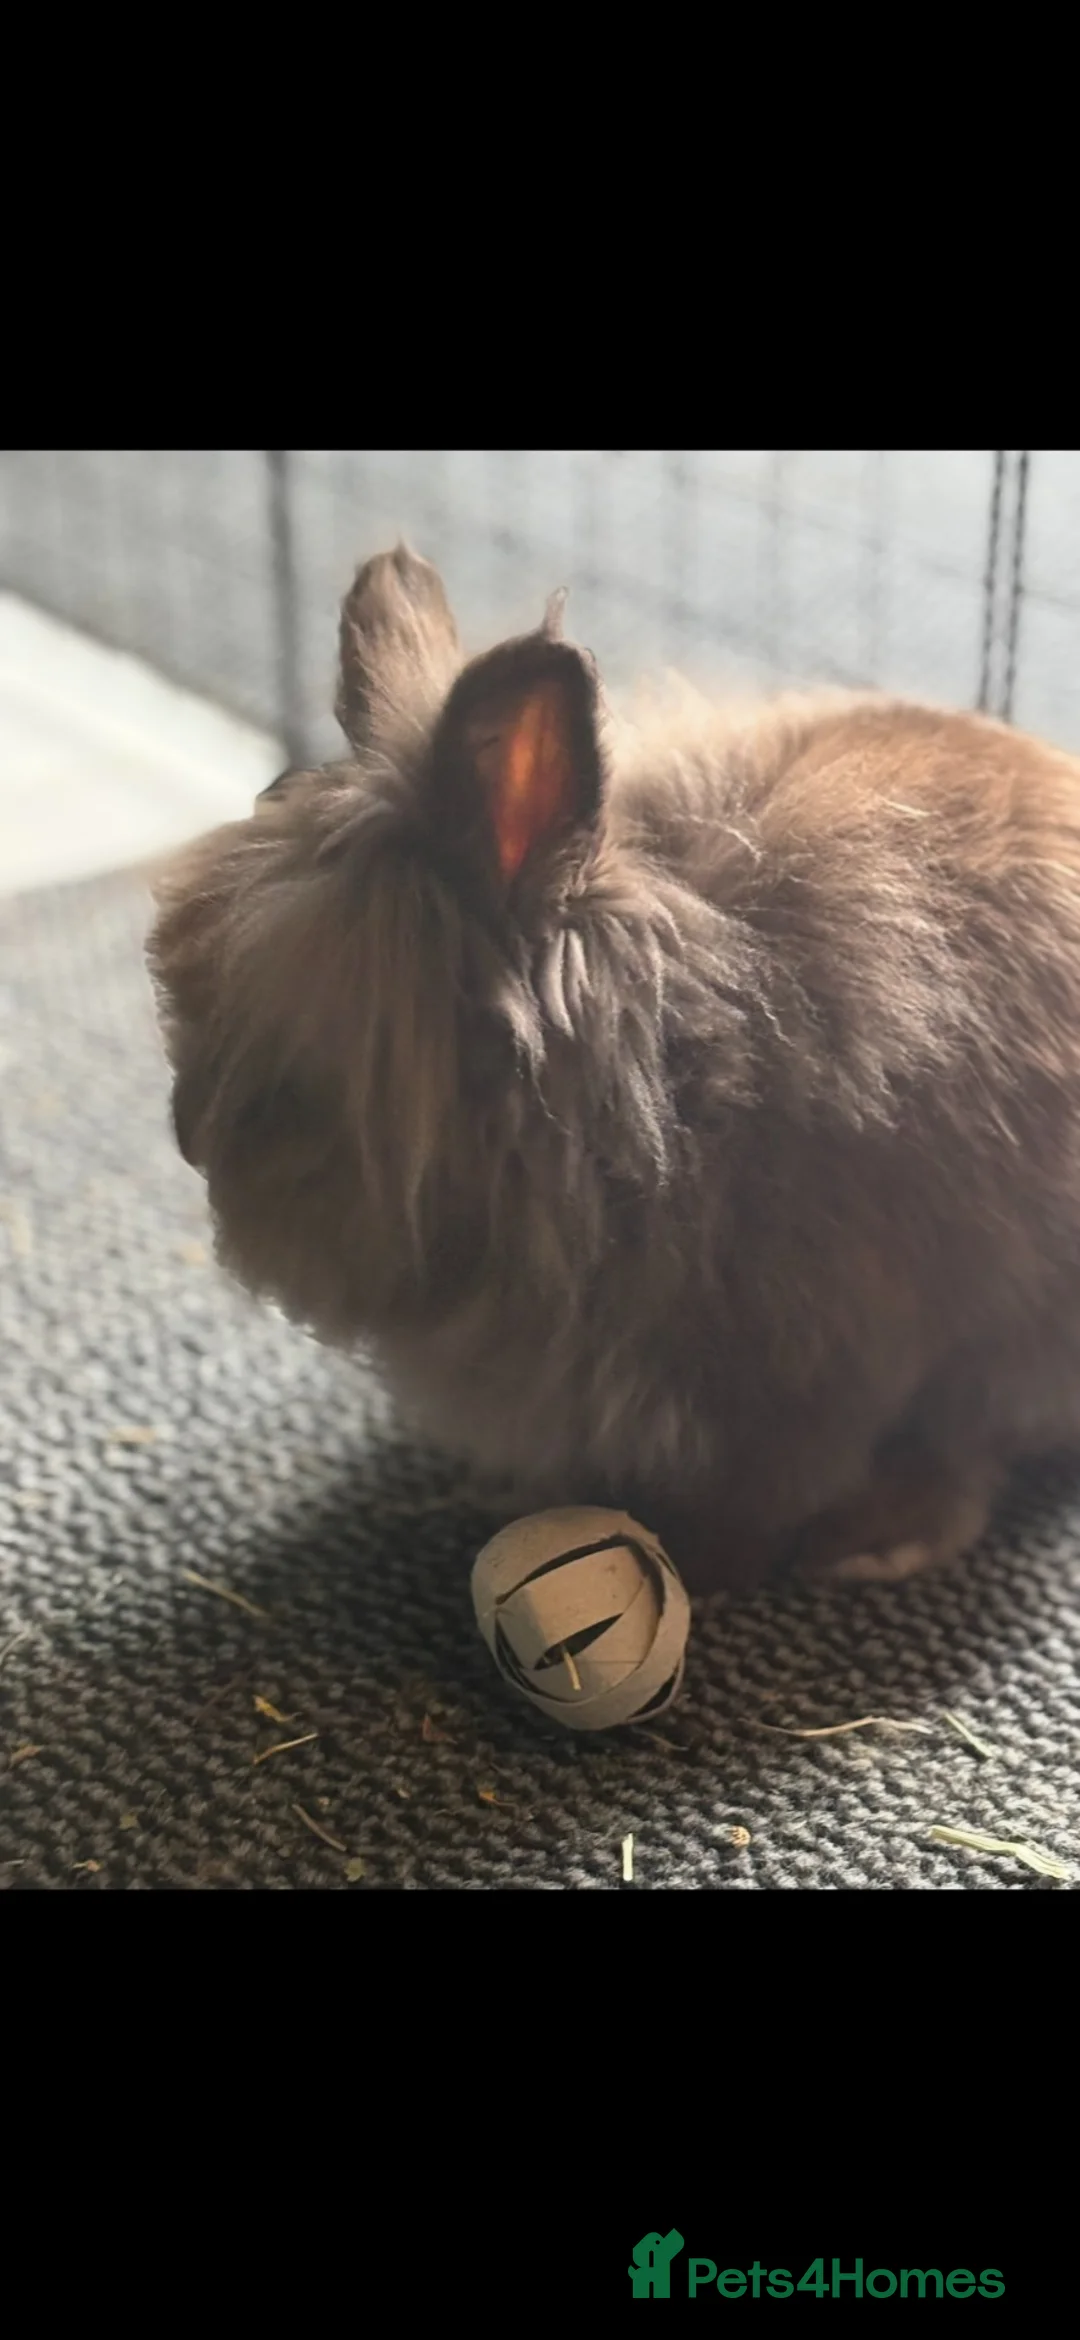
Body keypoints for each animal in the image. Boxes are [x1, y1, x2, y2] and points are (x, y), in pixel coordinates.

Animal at [146, 542, 1080, 1594]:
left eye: (286, 1076)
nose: (187, 1139)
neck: (669, 1099)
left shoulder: (825, 1368)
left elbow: (786, 1481)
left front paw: (708, 1557)